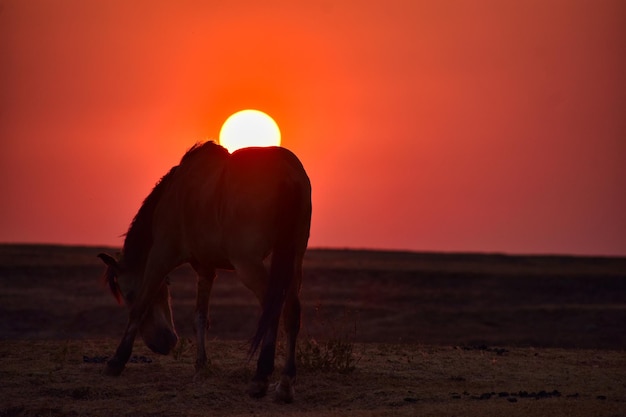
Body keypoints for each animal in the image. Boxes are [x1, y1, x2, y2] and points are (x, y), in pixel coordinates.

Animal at [97, 141, 310, 402]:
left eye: (126, 294)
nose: (165, 343)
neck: (174, 194)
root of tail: (287, 173)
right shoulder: (206, 269)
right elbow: (200, 316)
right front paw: (201, 366)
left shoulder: (160, 256)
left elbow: (140, 306)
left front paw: (116, 361)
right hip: (294, 259)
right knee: (292, 311)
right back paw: (285, 384)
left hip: (248, 264)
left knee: (273, 308)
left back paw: (260, 379)